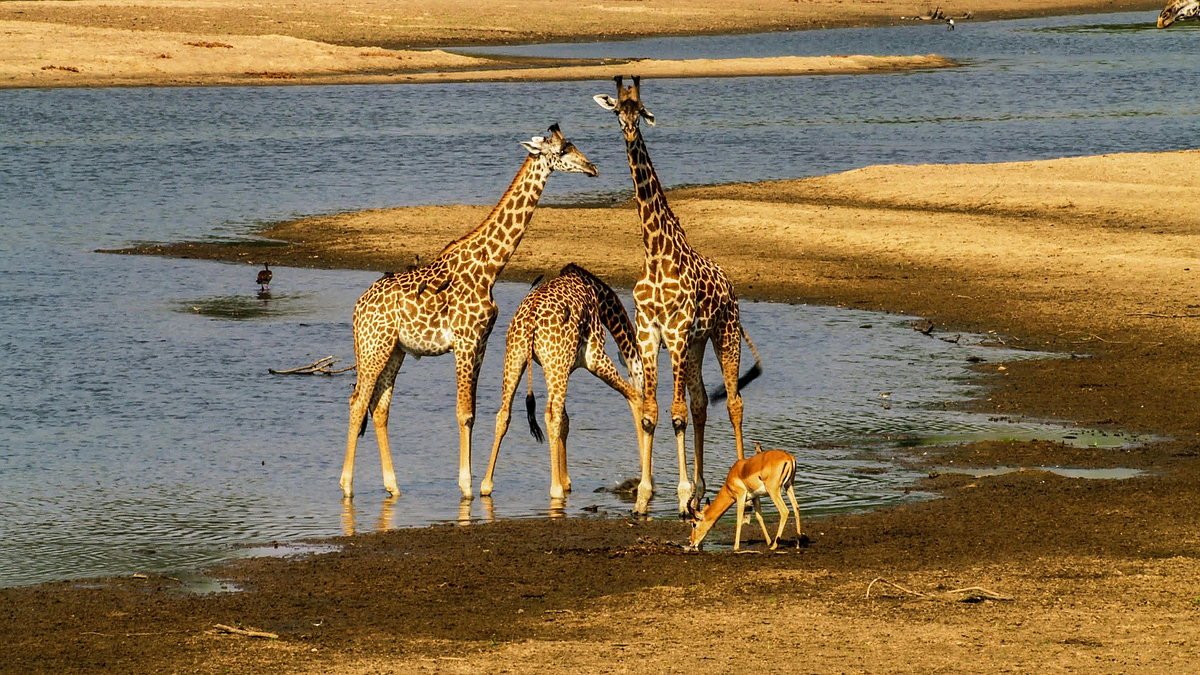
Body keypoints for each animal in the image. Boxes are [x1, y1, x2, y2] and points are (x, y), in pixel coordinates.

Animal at [340, 124, 598, 501]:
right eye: (563, 150)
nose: (592, 167)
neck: (490, 267)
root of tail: (358, 309)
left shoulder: (480, 344)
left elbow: (473, 413)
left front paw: (470, 481)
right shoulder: (463, 341)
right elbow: (463, 413)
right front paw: (465, 486)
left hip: (394, 351)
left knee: (380, 407)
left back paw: (393, 486)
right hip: (374, 346)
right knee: (358, 401)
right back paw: (346, 485)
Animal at [480, 263, 643, 500]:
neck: (596, 294)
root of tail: (530, 320)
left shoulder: (565, 369)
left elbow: (566, 421)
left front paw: (566, 480)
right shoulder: (593, 357)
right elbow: (634, 398)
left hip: (518, 357)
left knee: (504, 414)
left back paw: (486, 485)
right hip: (558, 364)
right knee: (551, 416)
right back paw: (555, 488)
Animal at [594, 76, 762, 517]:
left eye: (641, 109)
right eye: (618, 109)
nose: (629, 130)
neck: (655, 253)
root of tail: (731, 286)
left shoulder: (677, 332)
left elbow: (676, 415)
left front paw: (682, 495)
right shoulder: (651, 334)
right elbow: (653, 414)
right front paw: (643, 498)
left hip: (724, 334)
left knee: (734, 403)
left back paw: (742, 490)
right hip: (697, 344)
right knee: (703, 402)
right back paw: (704, 491)